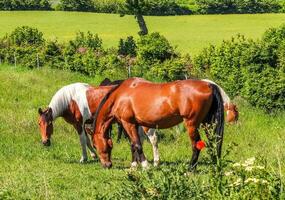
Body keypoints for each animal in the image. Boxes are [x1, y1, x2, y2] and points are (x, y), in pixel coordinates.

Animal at [92, 77, 225, 169]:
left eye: (96, 146)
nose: (107, 165)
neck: (120, 95)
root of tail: (208, 85)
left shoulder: (128, 123)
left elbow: (137, 145)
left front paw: (145, 165)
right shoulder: (134, 124)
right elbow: (133, 144)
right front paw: (134, 166)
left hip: (192, 124)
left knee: (196, 145)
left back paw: (190, 169)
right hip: (208, 124)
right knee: (213, 143)